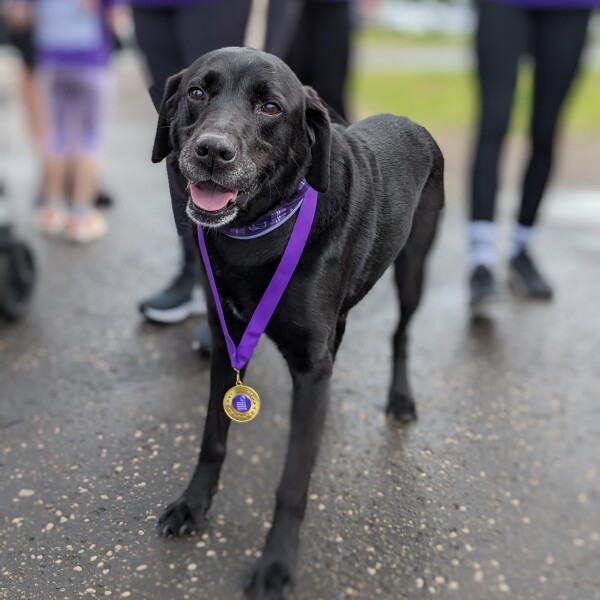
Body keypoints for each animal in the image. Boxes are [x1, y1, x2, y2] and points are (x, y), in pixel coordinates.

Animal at [151, 48, 440, 600]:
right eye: (197, 92)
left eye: (270, 106)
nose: (212, 151)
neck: (260, 233)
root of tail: (409, 120)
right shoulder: (226, 342)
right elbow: (212, 439)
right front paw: (193, 505)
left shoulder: (309, 368)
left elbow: (290, 482)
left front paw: (276, 564)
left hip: (414, 269)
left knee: (401, 334)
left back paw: (400, 397)